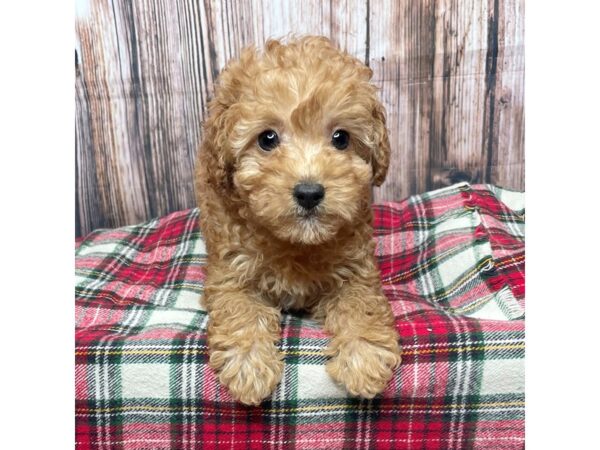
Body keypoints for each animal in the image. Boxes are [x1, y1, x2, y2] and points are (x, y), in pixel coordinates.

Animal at [197, 37, 400, 406]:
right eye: (267, 139)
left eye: (341, 138)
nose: (309, 192)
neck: (296, 241)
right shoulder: (229, 271)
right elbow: (239, 309)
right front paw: (249, 367)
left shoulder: (357, 269)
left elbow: (362, 305)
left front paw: (364, 358)